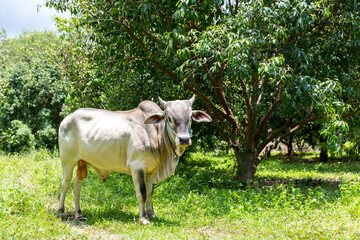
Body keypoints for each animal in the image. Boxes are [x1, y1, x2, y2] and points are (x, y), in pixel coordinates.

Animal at [58, 94, 211, 224]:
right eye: (169, 118)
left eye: (190, 117)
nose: (184, 139)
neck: (155, 133)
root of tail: (68, 117)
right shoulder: (137, 166)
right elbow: (142, 193)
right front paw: (143, 218)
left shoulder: (150, 171)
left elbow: (150, 192)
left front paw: (152, 214)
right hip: (67, 160)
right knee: (65, 183)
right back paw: (61, 212)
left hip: (82, 162)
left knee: (77, 185)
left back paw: (79, 214)